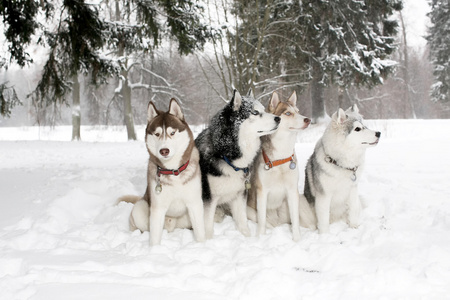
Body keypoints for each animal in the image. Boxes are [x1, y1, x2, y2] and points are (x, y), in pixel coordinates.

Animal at [118, 99, 205, 245]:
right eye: (157, 134)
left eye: (172, 132)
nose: (164, 151)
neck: (173, 171)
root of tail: (171, 227)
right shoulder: (157, 208)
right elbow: (154, 238)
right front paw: (154, 250)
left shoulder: (194, 203)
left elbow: (200, 232)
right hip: (140, 208)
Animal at [197, 90, 282, 238]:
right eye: (255, 112)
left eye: (264, 110)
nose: (278, 118)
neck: (226, 155)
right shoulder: (208, 198)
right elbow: (207, 226)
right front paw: (207, 240)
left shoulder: (239, 195)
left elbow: (242, 222)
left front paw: (247, 237)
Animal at [246, 90, 316, 240]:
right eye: (288, 113)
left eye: (298, 111)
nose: (307, 119)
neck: (281, 158)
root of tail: (279, 222)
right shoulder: (262, 192)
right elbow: (261, 221)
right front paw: (261, 238)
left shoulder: (292, 191)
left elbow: (295, 222)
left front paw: (297, 239)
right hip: (249, 210)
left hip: (299, 202)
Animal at [304, 105, 382, 234]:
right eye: (357, 129)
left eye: (364, 126)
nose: (378, 133)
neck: (341, 165)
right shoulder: (324, 196)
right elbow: (324, 220)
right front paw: (325, 235)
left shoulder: (352, 190)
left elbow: (353, 211)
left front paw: (354, 227)